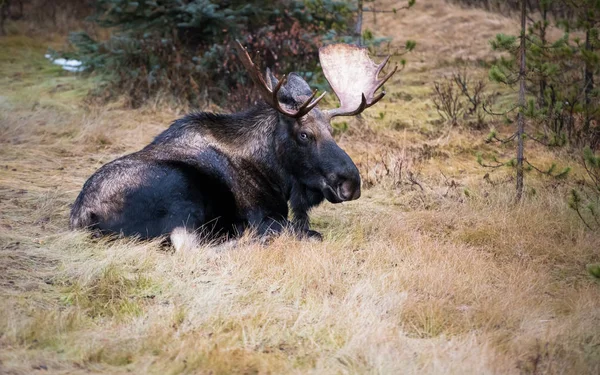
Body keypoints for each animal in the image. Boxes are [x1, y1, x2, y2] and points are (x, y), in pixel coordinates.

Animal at [69, 41, 398, 241]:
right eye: (304, 134)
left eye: (332, 131)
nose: (351, 184)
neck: (276, 176)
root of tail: (82, 216)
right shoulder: (265, 216)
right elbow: (308, 233)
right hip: (179, 195)